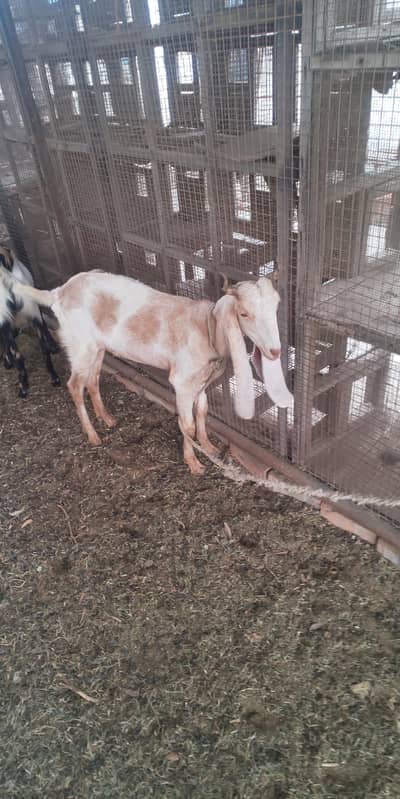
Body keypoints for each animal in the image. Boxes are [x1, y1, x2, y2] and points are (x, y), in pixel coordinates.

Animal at [0, 267, 292, 474]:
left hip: (97, 347)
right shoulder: (182, 381)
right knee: (74, 384)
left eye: (276, 308)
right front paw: (193, 462)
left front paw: (208, 446)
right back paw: (93, 435)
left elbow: (202, 411)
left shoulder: (200, 380)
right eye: (244, 314)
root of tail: (58, 292)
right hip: (79, 344)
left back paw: (107, 419)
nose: (275, 351)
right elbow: (186, 423)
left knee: (93, 379)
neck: (206, 327)